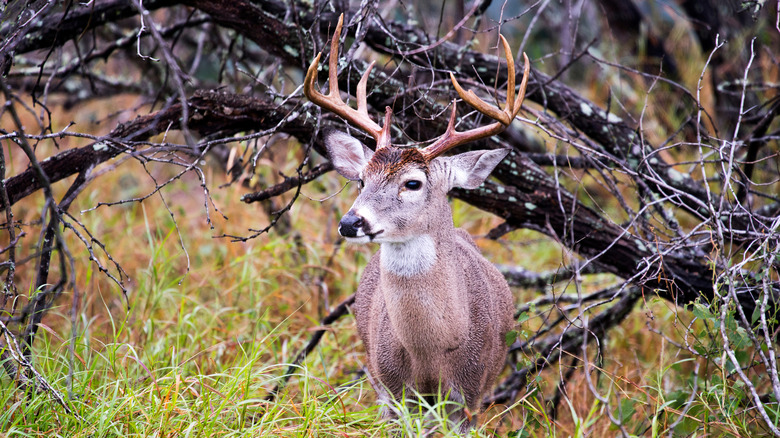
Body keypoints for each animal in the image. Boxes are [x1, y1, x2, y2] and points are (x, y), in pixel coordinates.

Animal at [304, 16, 532, 432]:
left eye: (413, 183)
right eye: (362, 180)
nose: (350, 222)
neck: (433, 352)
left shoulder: (469, 398)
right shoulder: (394, 392)